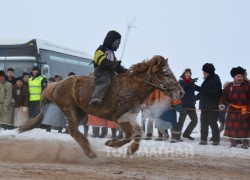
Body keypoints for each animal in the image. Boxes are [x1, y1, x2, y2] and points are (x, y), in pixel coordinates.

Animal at [19, 55, 184, 159]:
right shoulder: (119, 118)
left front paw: (125, 147)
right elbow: (132, 133)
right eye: (166, 74)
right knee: (72, 130)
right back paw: (90, 152)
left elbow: (137, 132)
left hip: (81, 112)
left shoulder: (130, 117)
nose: (181, 92)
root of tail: (56, 84)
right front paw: (115, 144)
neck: (132, 87)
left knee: (72, 130)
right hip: (69, 108)